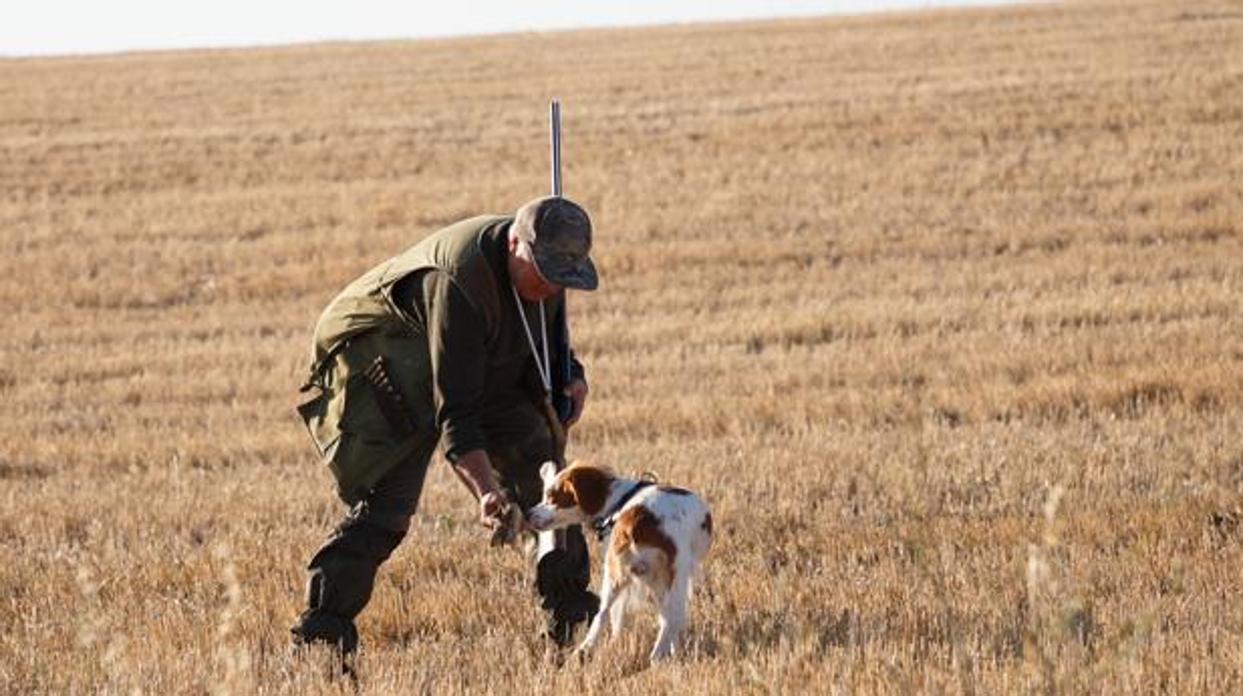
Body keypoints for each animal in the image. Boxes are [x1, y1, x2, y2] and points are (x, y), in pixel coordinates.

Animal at [524, 459, 715, 661]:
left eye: (552, 496)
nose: (527, 514)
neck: (619, 500)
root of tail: (639, 518)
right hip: (668, 577)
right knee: (668, 619)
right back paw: (656, 657)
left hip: (619, 574)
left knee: (604, 613)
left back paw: (585, 650)